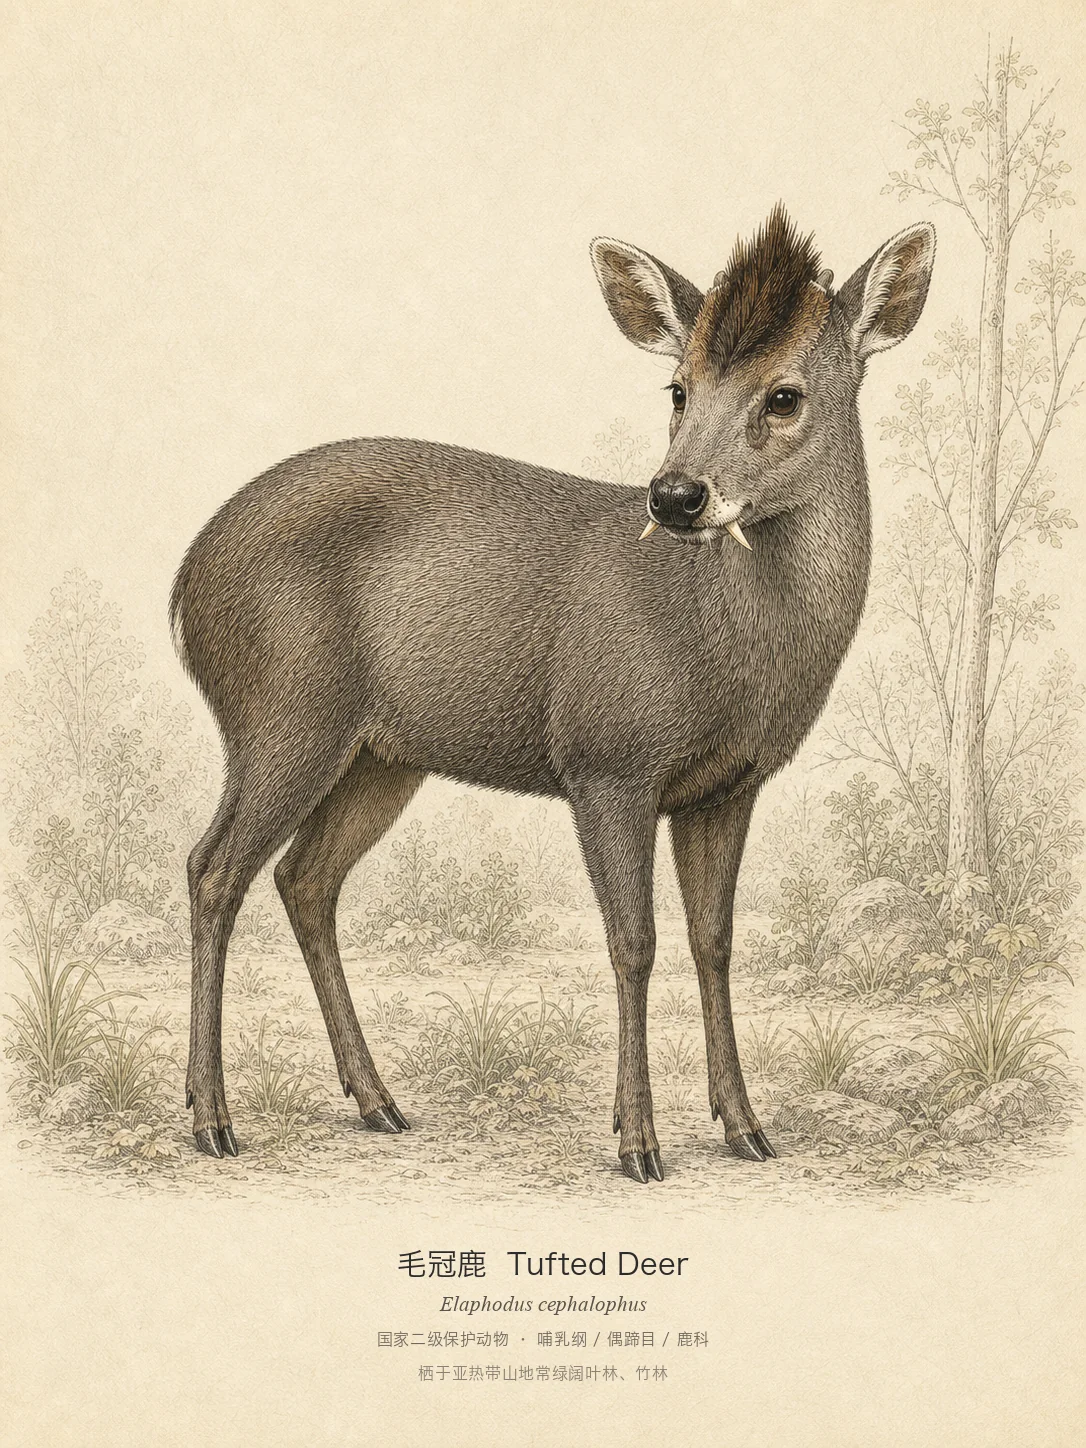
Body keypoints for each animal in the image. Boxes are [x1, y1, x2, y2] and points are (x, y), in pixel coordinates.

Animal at [171, 205, 935, 1183]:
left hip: (379, 754)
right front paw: (638, 1143)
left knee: (305, 879)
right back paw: (213, 1119)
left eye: (785, 395)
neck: (725, 644)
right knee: (214, 868)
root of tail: (185, 586)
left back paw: (379, 1102)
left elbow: (715, 942)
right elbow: (634, 943)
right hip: (282, 712)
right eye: (678, 388)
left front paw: (746, 1127)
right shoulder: (606, 761)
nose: (675, 495)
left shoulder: (727, 786)